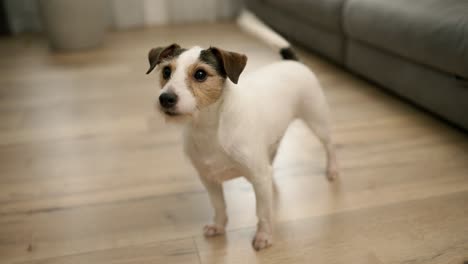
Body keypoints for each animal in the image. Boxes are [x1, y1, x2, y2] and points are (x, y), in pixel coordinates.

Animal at [144, 9, 338, 250]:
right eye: (166, 71)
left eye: (200, 74)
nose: (165, 99)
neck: (209, 128)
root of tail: (292, 61)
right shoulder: (209, 180)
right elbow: (219, 206)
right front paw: (219, 226)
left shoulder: (257, 177)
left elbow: (262, 212)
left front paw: (264, 236)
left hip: (316, 118)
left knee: (329, 144)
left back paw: (332, 169)